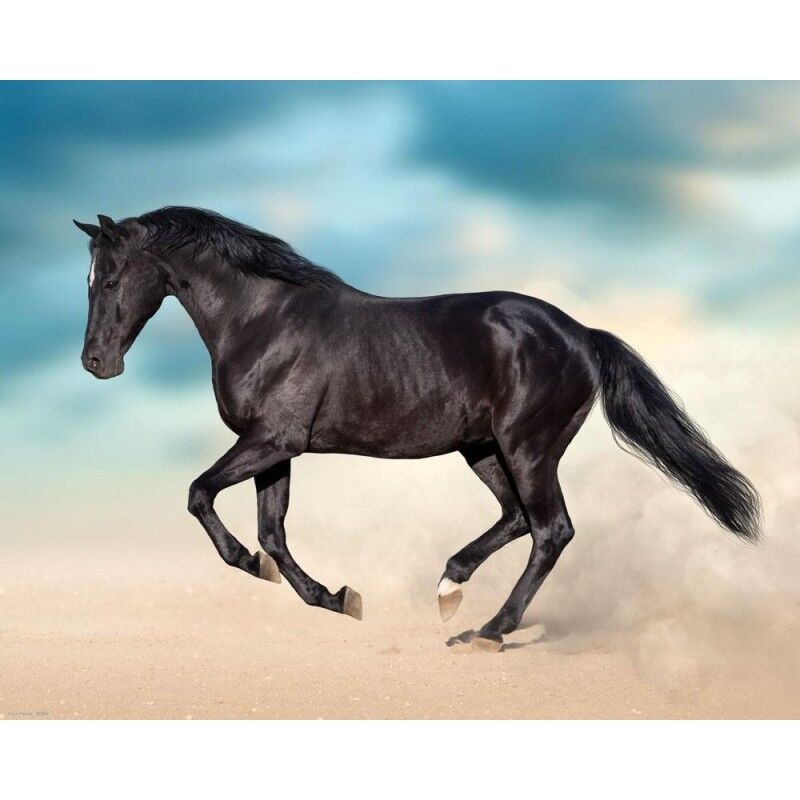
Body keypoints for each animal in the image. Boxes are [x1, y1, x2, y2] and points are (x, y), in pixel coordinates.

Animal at [74, 207, 761, 650]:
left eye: (110, 277)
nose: (96, 363)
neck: (263, 318)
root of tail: (582, 335)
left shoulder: (273, 439)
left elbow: (200, 494)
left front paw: (253, 564)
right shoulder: (276, 448)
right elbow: (273, 534)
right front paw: (336, 598)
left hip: (528, 447)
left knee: (551, 530)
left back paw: (487, 632)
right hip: (483, 448)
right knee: (517, 519)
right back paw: (449, 589)